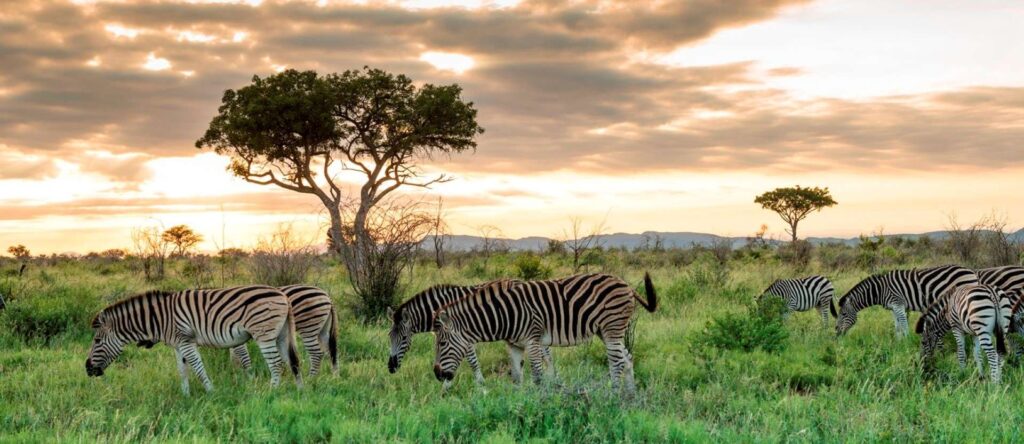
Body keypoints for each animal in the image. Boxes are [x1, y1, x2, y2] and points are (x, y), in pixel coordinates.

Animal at [87, 286, 299, 392]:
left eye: (97, 342)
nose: (87, 369)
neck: (159, 318)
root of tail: (283, 295)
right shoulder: (177, 346)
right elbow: (182, 371)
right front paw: (186, 396)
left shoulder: (186, 341)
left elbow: (198, 368)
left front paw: (211, 393)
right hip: (281, 334)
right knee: (292, 362)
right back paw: (300, 392)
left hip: (264, 334)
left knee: (277, 364)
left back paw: (271, 393)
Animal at [385, 284, 552, 384]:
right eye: (389, 337)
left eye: (404, 338)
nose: (391, 367)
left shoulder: (462, 337)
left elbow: (471, 361)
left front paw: (480, 385)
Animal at [430, 272, 655, 392]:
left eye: (442, 344)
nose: (437, 375)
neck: (504, 315)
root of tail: (626, 285)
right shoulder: (514, 344)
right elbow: (516, 376)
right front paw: (516, 407)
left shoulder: (533, 339)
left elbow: (537, 376)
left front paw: (540, 403)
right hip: (606, 331)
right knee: (627, 359)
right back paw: (631, 396)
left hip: (611, 328)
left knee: (617, 363)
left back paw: (614, 396)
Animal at [831, 263, 974, 335]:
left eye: (843, 314)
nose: (836, 331)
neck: (879, 290)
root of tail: (970, 271)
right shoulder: (893, 308)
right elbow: (897, 327)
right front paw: (898, 343)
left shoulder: (898, 304)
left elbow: (904, 326)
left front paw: (907, 343)